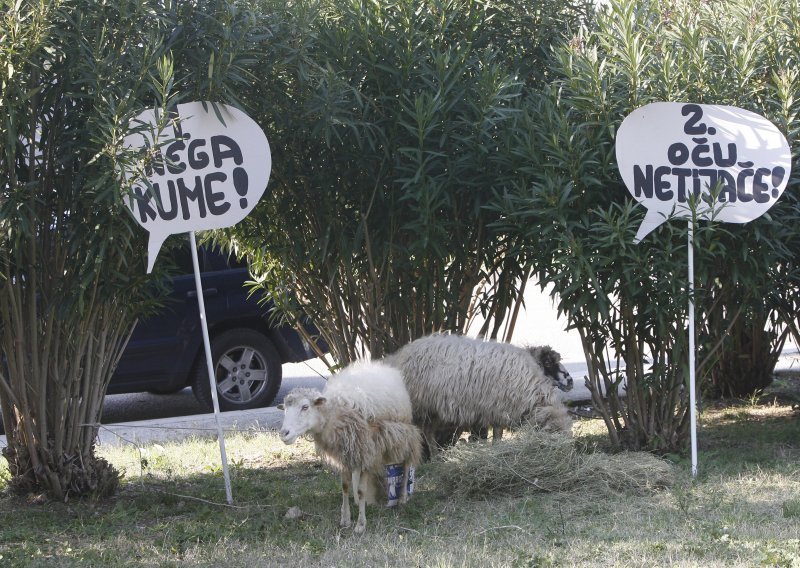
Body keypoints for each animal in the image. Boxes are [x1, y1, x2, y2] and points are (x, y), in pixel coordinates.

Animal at [278, 384, 422, 536]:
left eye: (305, 407)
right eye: (285, 409)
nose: (283, 434)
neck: (335, 416)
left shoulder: (366, 455)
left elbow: (361, 491)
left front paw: (360, 524)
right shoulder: (344, 457)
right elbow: (345, 486)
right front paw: (345, 519)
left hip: (405, 435)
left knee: (407, 464)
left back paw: (403, 497)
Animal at [382, 332, 576, 448]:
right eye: (549, 362)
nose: (570, 381)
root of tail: (397, 356)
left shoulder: (498, 410)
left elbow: (497, 434)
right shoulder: (498, 408)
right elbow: (497, 434)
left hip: (432, 408)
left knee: (428, 432)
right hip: (420, 406)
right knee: (424, 434)